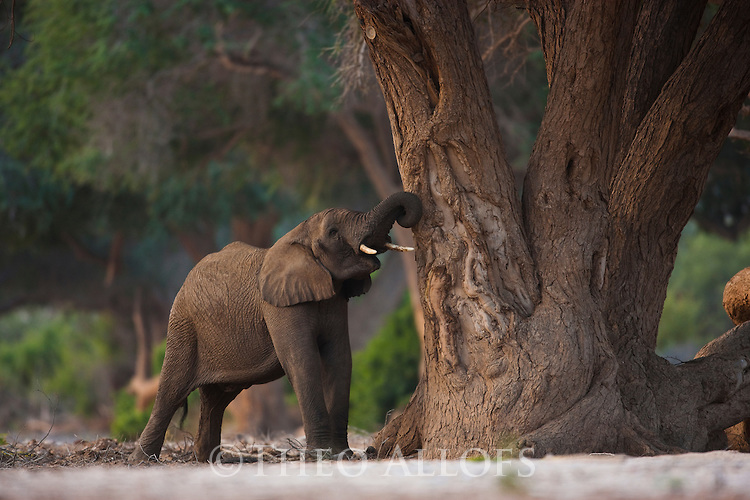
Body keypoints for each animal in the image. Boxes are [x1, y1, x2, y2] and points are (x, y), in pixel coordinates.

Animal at [128, 191, 422, 463]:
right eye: (333, 232)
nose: (406, 215)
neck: (301, 235)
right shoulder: (279, 306)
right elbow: (303, 361)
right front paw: (319, 456)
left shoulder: (335, 300)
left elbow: (339, 359)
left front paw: (342, 455)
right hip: (183, 325)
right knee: (171, 391)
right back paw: (143, 461)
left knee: (216, 399)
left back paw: (208, 459)